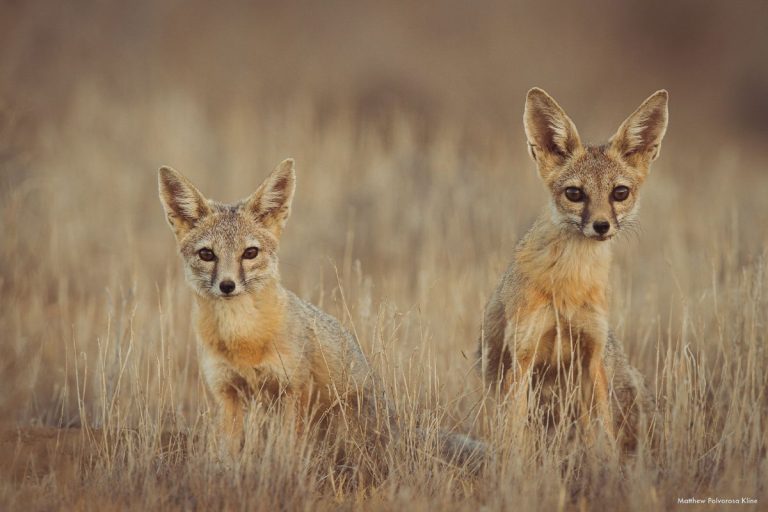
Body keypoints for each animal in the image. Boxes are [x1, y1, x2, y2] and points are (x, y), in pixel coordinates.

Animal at [158, 159, 485, 473]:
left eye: (250, 253)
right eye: (207, 255)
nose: (227, 285)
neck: (242, 338)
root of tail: (397, 429)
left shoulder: (295, 389)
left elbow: (287, 450)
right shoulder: (227, 394)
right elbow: (229, 453)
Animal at [477, 88, 667, 451]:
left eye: (619, 193)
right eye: (574, 194)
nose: (601, 226)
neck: (568, 284)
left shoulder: (592, 357)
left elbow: (604, 435)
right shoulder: (522, 358)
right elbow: (515, 435)